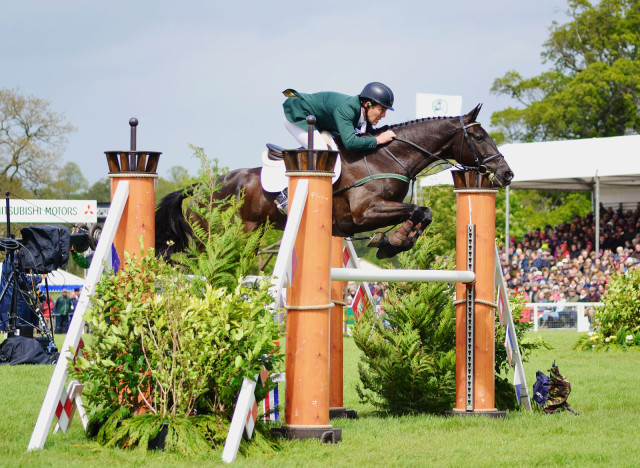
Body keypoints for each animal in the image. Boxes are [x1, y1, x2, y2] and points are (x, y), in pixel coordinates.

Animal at [156, 103, 516, 260]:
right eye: (480, 137)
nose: (507, 173)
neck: (386, 157)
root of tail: (199, 188)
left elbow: (422, 213)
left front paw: (393, 241)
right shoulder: (364, 213)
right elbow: (418, 210)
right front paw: (394, 239)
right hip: (216, 238)